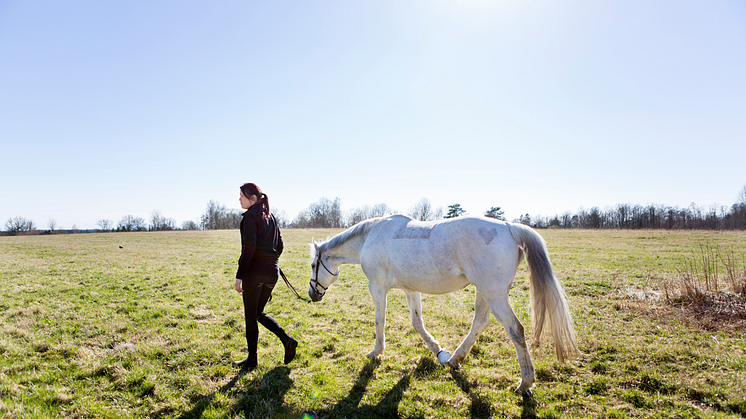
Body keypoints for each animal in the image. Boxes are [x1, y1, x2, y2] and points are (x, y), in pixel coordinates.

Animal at [306, 215, 580, 396]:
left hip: (494, 295)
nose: (312, 293)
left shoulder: (377, 287)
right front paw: (438, 351)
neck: (369, 239)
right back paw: (455, 359)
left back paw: (525, 382)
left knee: (516, 330)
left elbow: (379, 321)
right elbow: (417, 323)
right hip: (485, 293)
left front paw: (376, 352)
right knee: (480, 322)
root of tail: (509, 228)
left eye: (313, 265)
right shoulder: (410, 289)